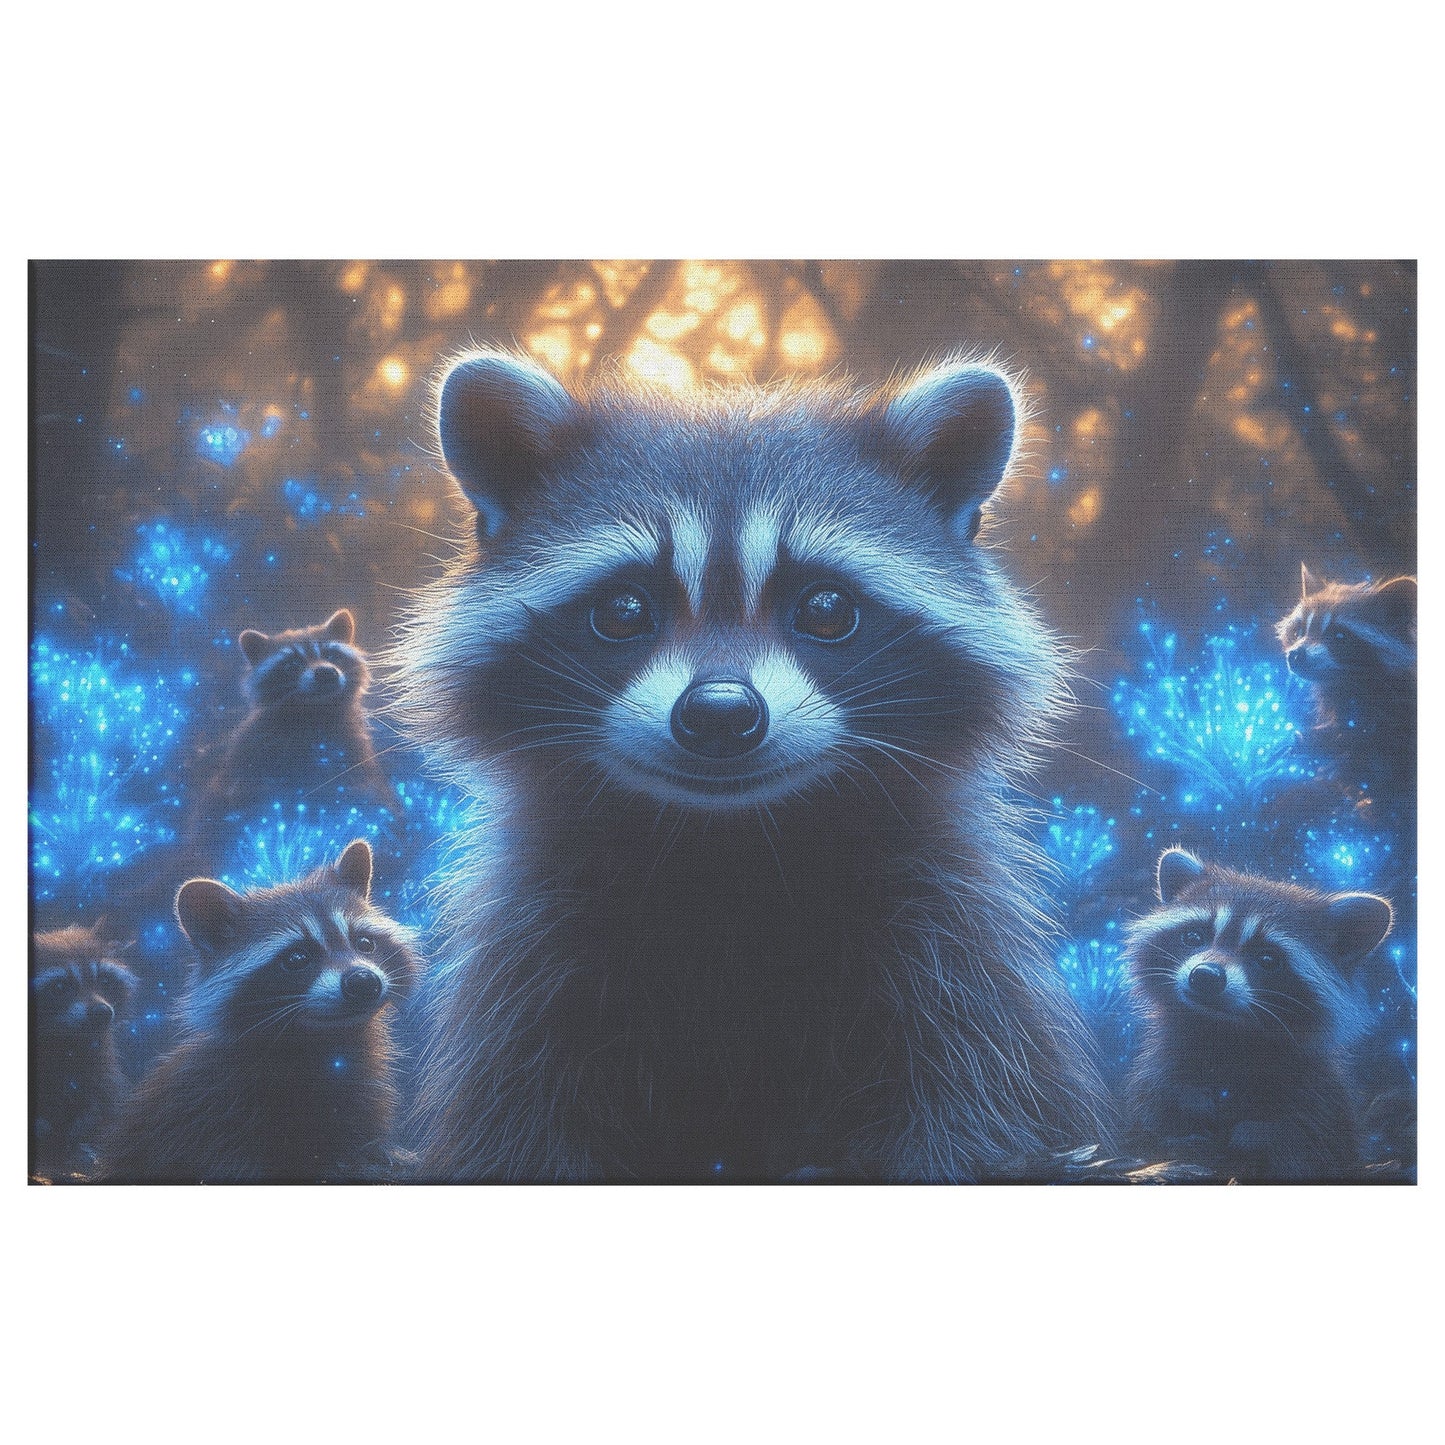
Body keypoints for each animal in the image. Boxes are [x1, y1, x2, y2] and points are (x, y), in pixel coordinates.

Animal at [31, 922, 136, 1177]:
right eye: (60, 987)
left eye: (104, 981)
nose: (102, 1012)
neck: (67, 1041)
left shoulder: (99, 1066)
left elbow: (104, 1103)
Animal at [396, 349, 1112, 1182]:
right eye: (623, 610)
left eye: (825, 609)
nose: (718, 714)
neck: (729, 844)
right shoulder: (530, 954)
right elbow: (520, 1113)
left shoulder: (953, 942)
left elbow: (968, 1093)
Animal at [1123, 848, 1392, 1182]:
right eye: (1194, 937)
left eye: (1267, 958)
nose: (1205, 976)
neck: (1225, 1032)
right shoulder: (1159, 1080)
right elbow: (1160, 1117)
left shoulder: (1316, 1102)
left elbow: (1300, 1141)